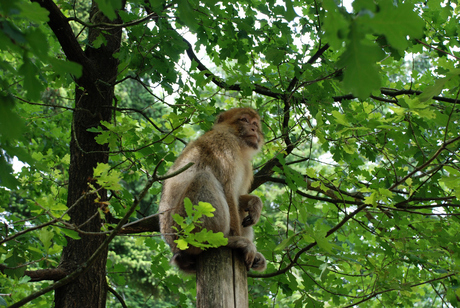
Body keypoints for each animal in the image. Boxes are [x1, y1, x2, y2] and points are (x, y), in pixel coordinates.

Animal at [159, 107, 268, 274]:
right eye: (244, 120)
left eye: (255, 123)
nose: (254, 129)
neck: (239, 145)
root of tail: (176, 251)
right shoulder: (225, 145)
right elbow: (228, 192)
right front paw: (237, 239)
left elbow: (237, 197)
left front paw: (254, 204)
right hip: (184, 229)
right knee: (204, 178)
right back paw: (228, 242)